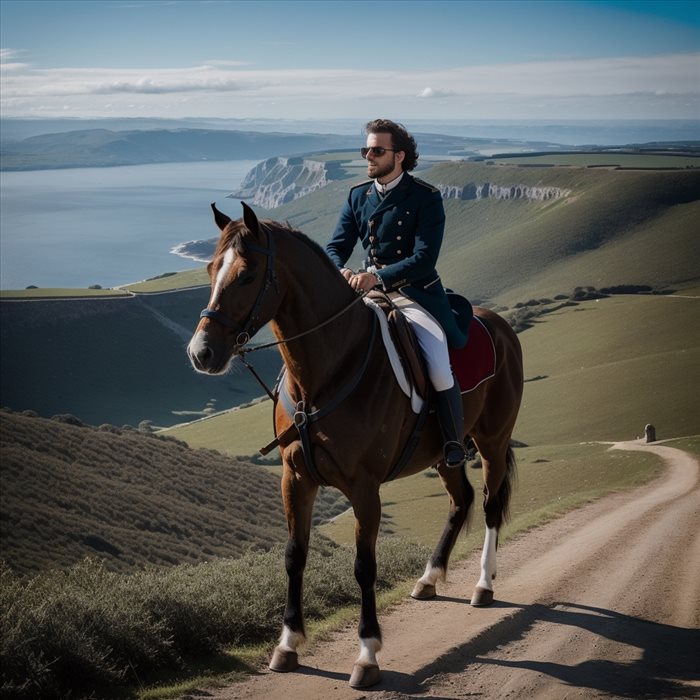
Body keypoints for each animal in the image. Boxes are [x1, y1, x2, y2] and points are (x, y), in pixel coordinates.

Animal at [189, 202, 524, 688]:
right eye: (212, 269)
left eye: (248, 275)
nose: (201, 353)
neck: (325, 373)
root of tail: (499, 325)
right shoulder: (295, 479)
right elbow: (295, 556)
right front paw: (288, 644)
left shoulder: (365, 489)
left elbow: (364, 567)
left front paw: (367, 655)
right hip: (447, 454)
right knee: (460, 499)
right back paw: (429, 579)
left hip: (492, 442)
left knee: (489, 505)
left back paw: (483, 584)